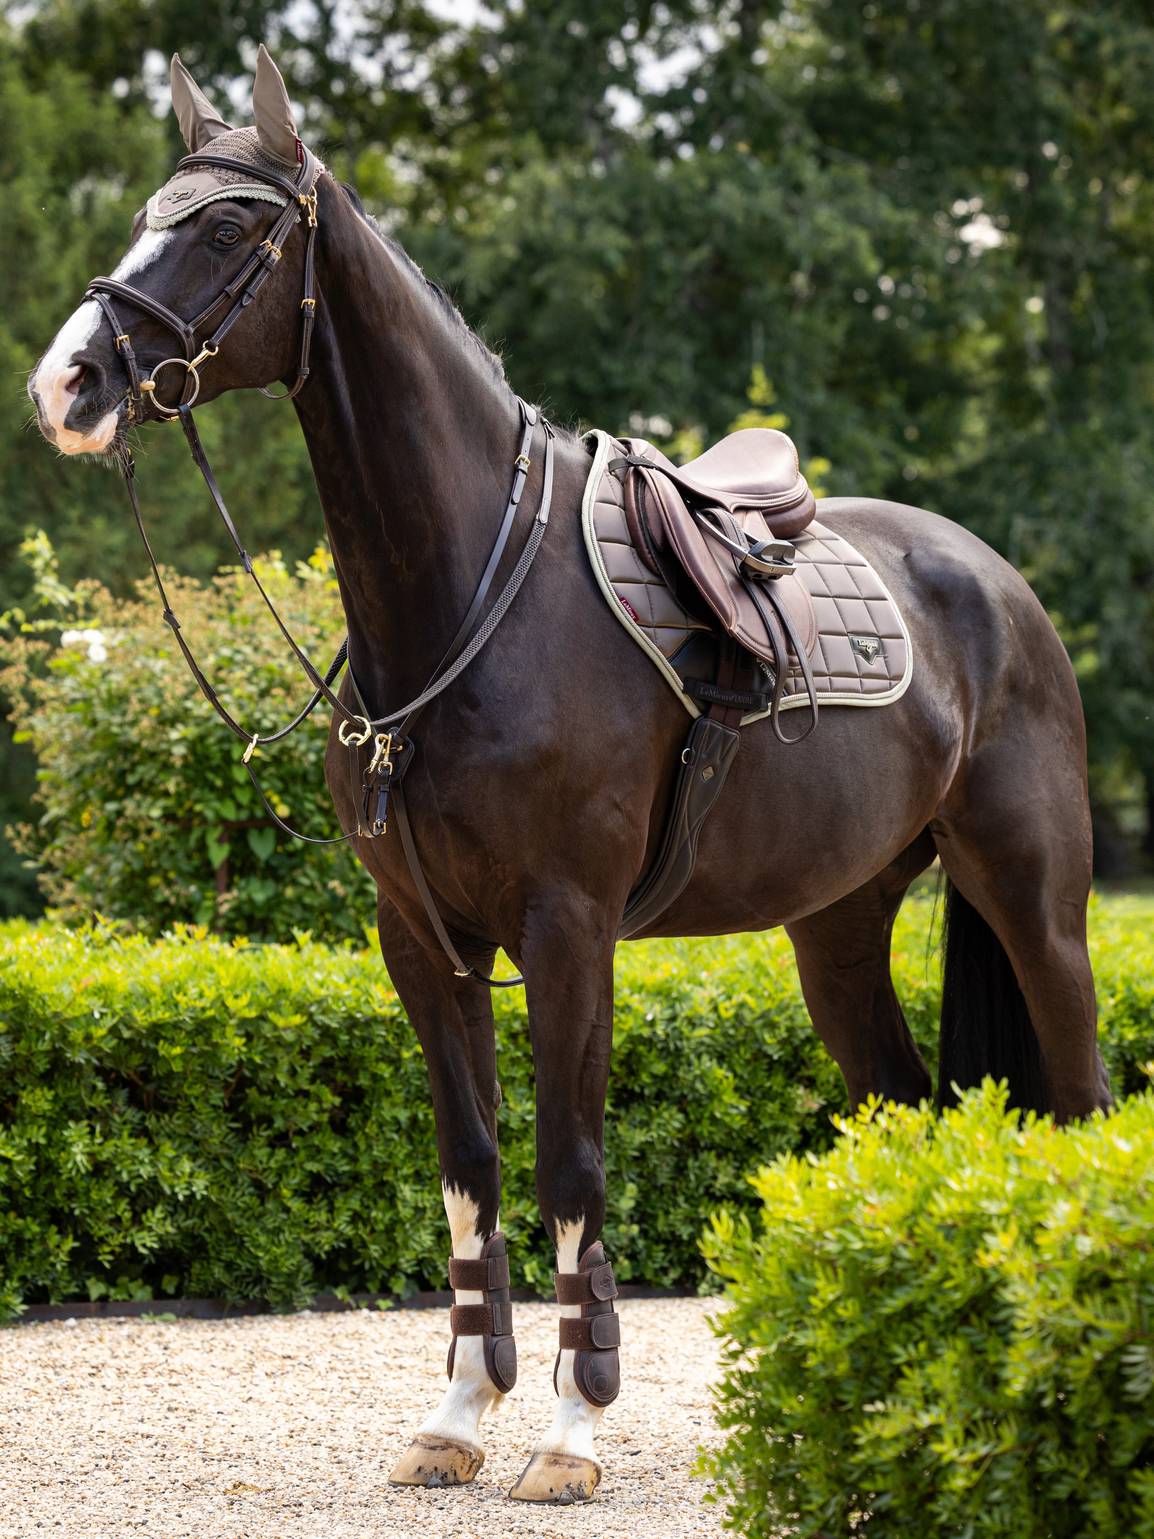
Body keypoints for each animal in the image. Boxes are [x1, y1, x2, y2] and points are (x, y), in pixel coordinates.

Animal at [29, 47, 1112, 1505]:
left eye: (228, 226)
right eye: (152, 211)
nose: (68, 382)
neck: (466, 591)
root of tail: (992, 579)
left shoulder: (566, 925)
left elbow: (569, 1162)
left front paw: (568, 1427)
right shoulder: (418, 938)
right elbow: (470, 1164)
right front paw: (456, 1413)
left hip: (1033, 897)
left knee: (1084, 1099)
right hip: (836, 930)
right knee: (901, 1109)